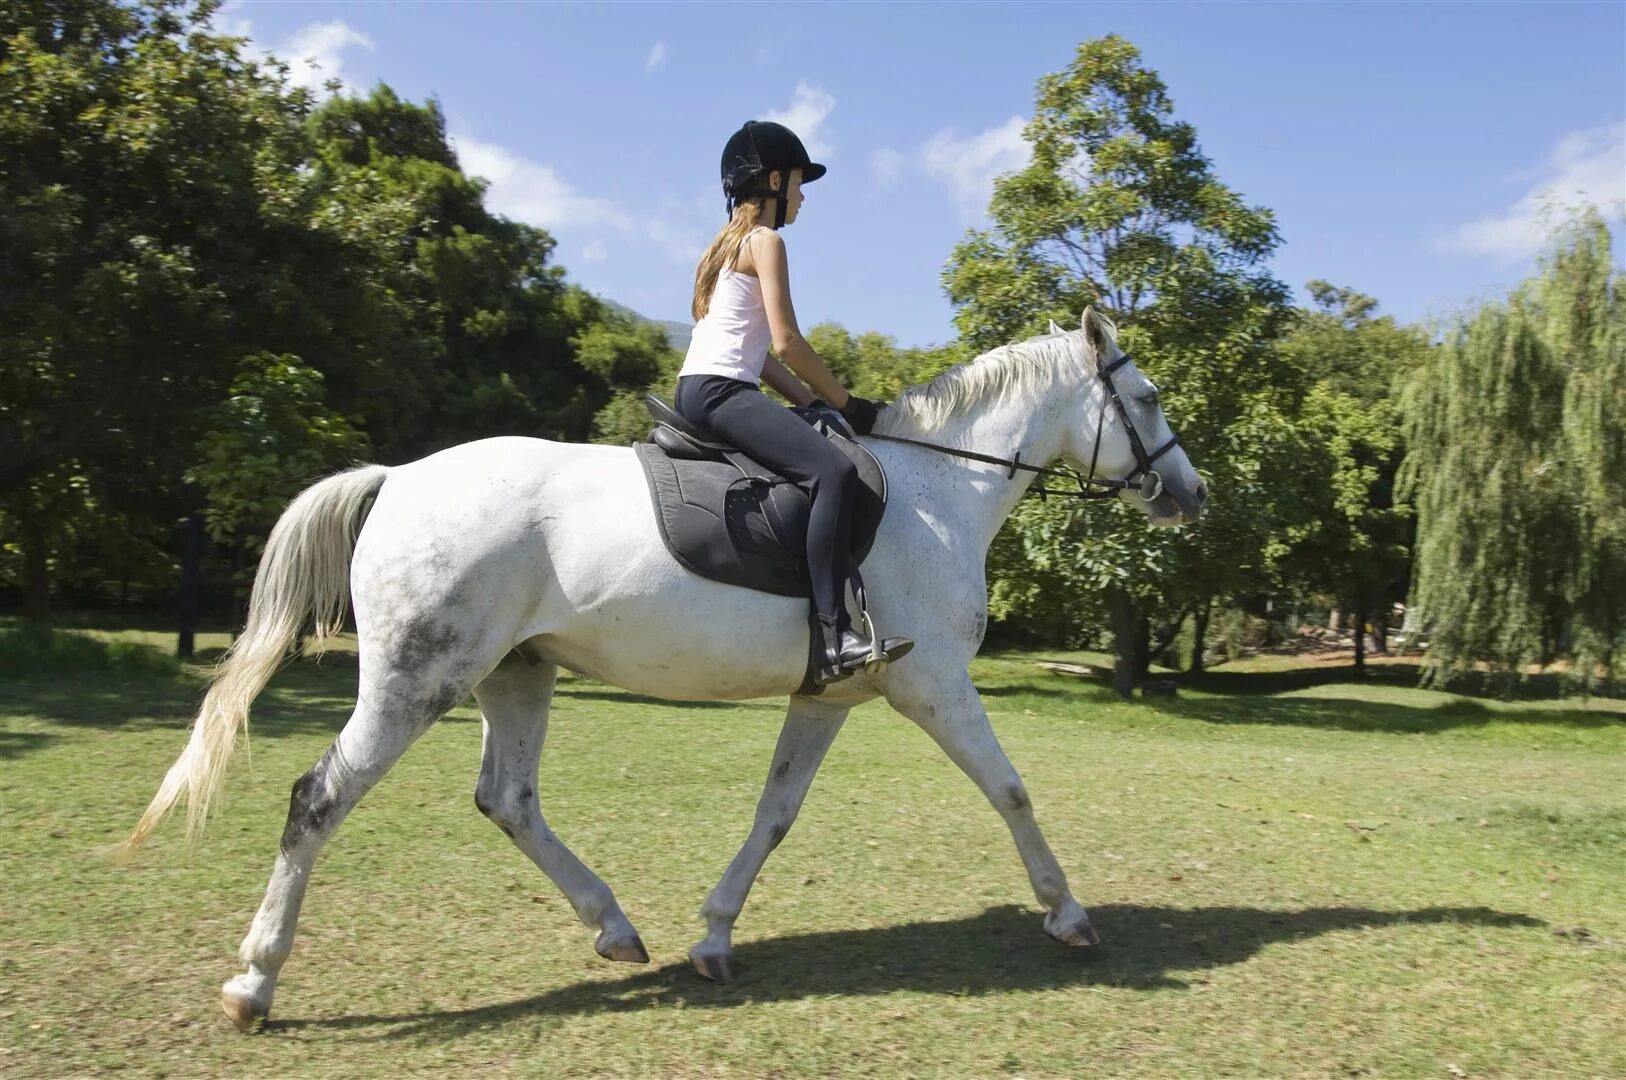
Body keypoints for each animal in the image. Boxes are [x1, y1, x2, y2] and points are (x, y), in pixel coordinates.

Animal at [123, 305, 1209, 1027]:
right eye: (1148, 398)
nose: (1192, 495)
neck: (934, 491)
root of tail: (397, 479)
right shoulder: (931, 682)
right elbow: (1011, 789)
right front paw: (1069, 913)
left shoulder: (835, 694)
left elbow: (775, 814)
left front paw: (714, 938)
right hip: (415, 681)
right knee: (319, 799)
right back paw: (255, 982)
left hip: (516, 673)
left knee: (507, 799)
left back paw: (614, 928)